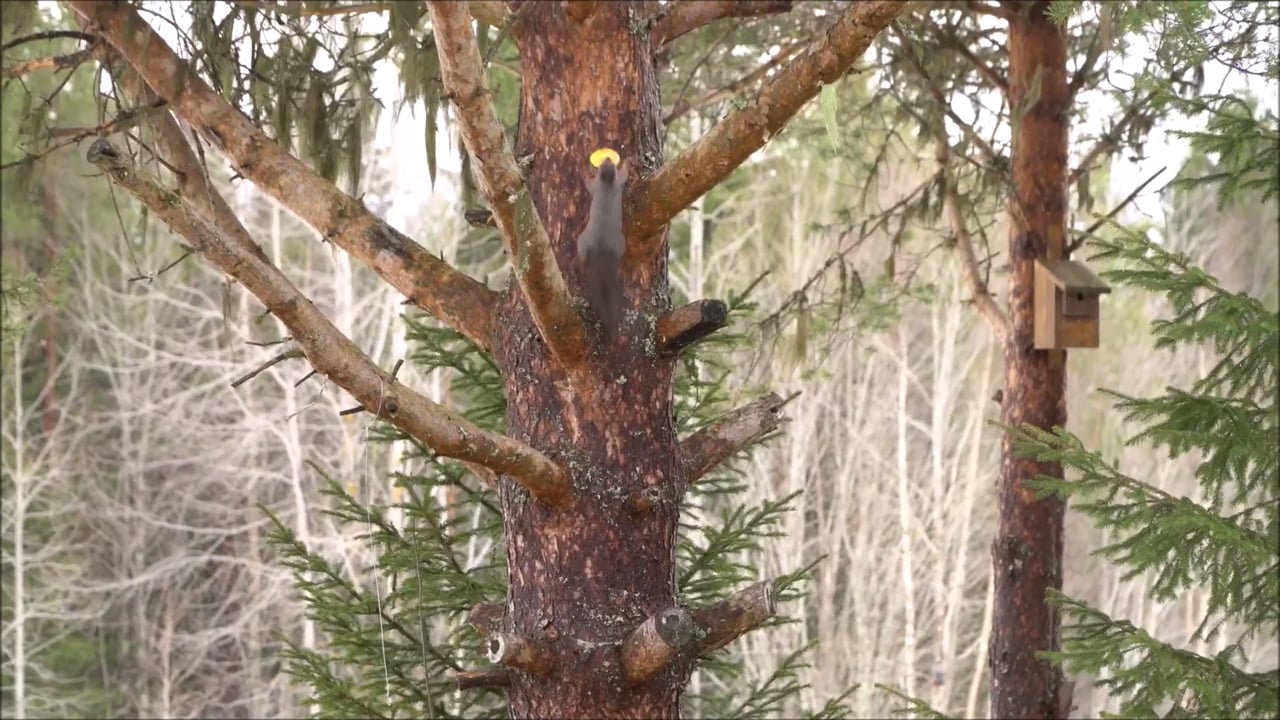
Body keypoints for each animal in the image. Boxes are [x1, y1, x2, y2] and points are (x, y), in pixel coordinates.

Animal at [576, 149, 629, 338]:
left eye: (610, 162)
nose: (607, 157)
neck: (607, 184)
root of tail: (601, 248)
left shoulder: (606, 183)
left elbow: (588, 183)